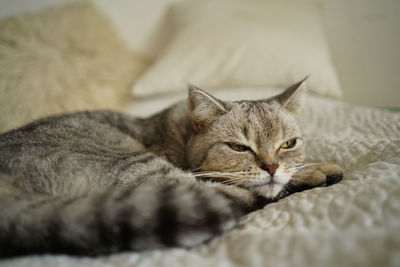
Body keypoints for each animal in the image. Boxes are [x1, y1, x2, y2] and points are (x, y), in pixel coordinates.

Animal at [0, 79, 342, 258]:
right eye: (238, 147)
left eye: (288, 144)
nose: (271, 167)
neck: (178, 130)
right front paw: (314, 170)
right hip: (140, 165)